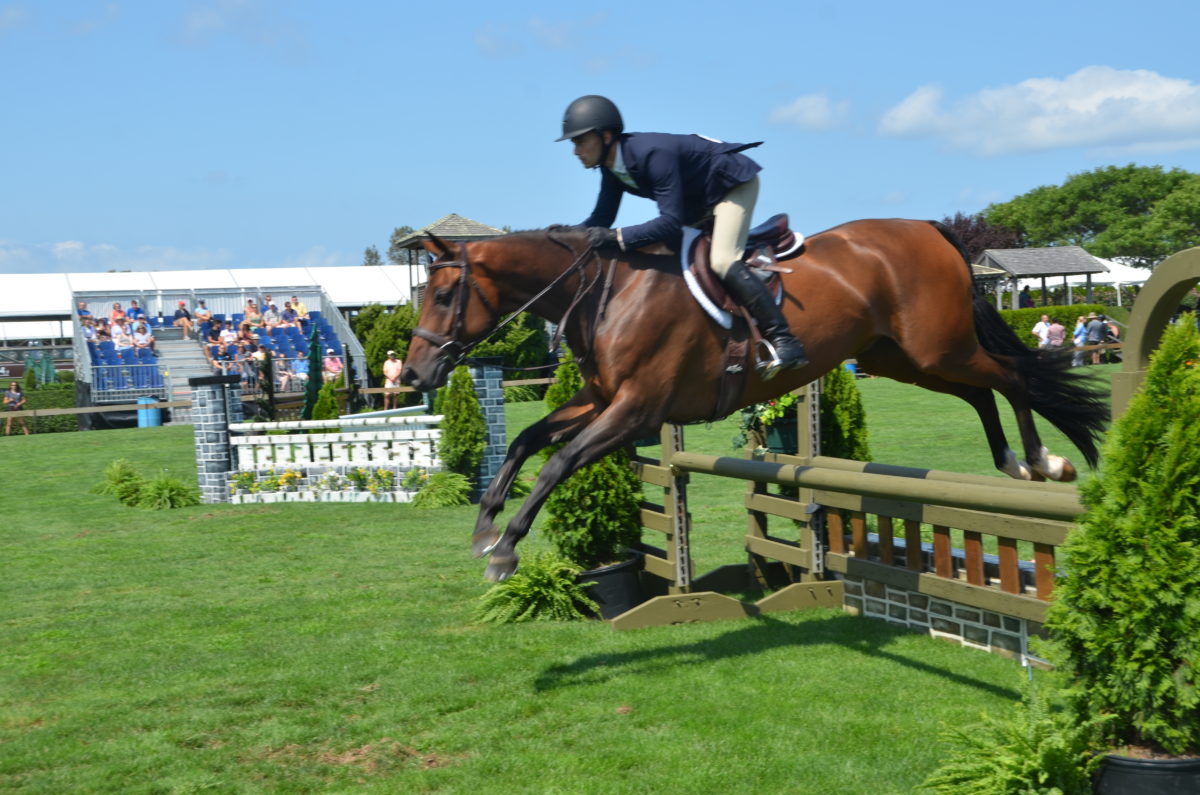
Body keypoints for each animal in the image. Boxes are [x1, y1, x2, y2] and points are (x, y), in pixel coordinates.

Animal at [401, 220, 1109, 582]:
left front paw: (504, 550)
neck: (606, 291)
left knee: (1011, 376)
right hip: (904, 358)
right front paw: (485, 526)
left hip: (936, 346)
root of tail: (931, 231)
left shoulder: (637, 409)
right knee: (981, 389)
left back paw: (1043, 462)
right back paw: (1016, 462)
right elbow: (527, 440)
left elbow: (556, 462)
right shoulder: (600, 398)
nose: (413, 374)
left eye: (443, 295)